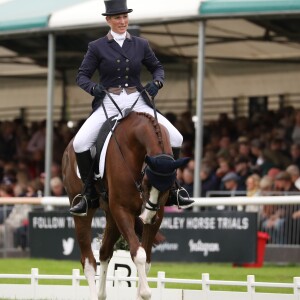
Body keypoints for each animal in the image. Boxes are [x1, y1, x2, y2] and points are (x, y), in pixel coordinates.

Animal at [61, 112, 188, 300]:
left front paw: (140, 294)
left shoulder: (157, 213)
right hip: (84, 211)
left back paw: (101, 294)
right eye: (146, 182)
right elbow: (139, 254)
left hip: (112, 216)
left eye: (169, 186)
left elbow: (146, 259)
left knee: (104, 252)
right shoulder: (122, 210)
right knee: (89, 260)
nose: (146, 218)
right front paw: (145, 292)